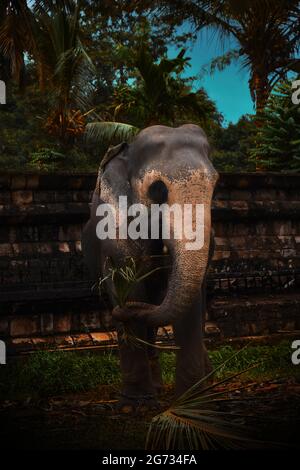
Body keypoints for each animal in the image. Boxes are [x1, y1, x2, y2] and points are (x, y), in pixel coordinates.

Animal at [82, 125, 218, 412]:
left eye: (215, 184)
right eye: (158, 188)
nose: (121, 310)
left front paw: (191, 405)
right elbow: (128, 281)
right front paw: (134, 406)